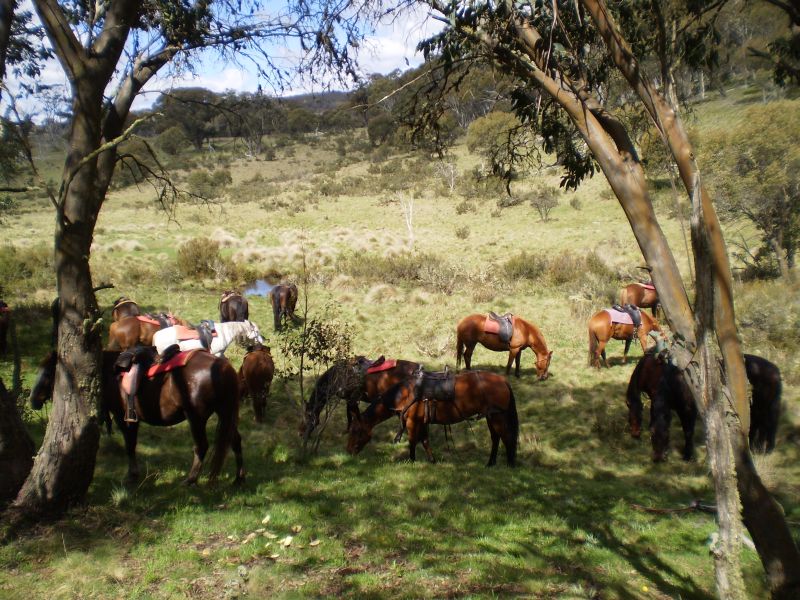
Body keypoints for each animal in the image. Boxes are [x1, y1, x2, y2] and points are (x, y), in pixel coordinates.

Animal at [30, 350, 244, 486]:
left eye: (48, 373)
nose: (33, 400)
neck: (109, 372)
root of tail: (222, 367)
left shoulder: (122, 417)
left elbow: (130, 445)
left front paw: (132, 475)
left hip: (196, 417)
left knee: (201, 446)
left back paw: (191, 479)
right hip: (225, 413)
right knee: (235, 441)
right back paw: (238, 478)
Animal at [348, 368, 520, 466]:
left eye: (356, 431)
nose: (348, 451)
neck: (405, 394)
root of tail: (503, 380)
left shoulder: (412, 422)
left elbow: (412, 441)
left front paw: (411, 461)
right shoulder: (422, 422)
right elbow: (424, 441)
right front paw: (432, 460)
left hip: (498, 417)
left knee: (506, 437)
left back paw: (510, 463)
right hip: (490, 417)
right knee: (496, 438)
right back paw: (490, 463)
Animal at [624, 352, 780, 460]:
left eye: (667, 434)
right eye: (651, 434)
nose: (659, 458)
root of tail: (775, 370)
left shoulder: (688, 410)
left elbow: (688, 431)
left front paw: (688, 455)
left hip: (761, 407)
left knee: (765, 425)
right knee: (762, 425)